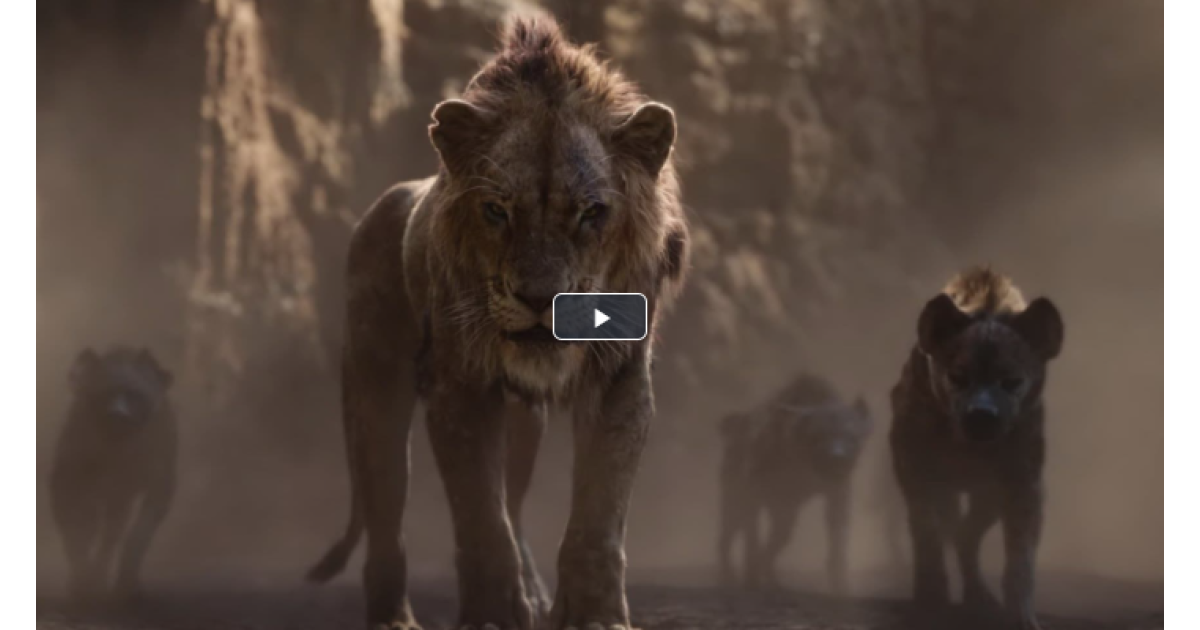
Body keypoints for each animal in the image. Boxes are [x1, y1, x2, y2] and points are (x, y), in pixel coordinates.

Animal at [50, 346, 177, 601]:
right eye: (103, 393)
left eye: (135, 394)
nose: (118, 415)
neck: (119, 452)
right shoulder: (67, 482)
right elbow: (76, 534)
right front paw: (81, 582)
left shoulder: (158, 486)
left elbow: (137, 537)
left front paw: (126, 585)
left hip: (119, 498)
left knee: (111, 535)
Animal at [306, 14, 688, 630]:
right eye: (497, 211)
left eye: (591, 212)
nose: (539, 298)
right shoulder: (458, 387)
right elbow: (480, 517)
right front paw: (491, 614)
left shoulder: (620, 379)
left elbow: (597, 515)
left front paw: (593, 615)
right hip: (374, 394)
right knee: (388, 518)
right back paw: (394, 618)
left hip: (523, 424)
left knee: (512, 499)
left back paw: (533, 594)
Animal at [890, 267, 1064, 630]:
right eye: (958, 376)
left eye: (1011, 381)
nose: (982, 415)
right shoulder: (919, 472)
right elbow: (927, 537)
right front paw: (931, 601)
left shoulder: (1023, 482)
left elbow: (1020, 560)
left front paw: (1020, 616)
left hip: (988, 498)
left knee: (966, 534)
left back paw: (978, 596)